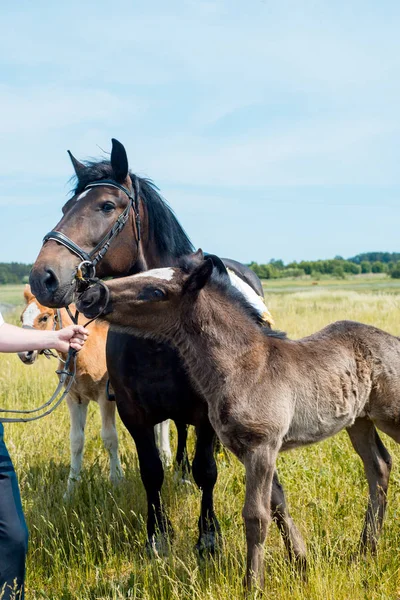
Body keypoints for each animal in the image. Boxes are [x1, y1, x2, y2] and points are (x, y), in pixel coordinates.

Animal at [76, 253, 398, 592]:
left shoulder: (262, 446)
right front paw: (301, 562)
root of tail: (392, 340)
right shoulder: (249, 449)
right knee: (379, 466)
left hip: (390, 416)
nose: (90, 294)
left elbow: (256, 516)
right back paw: (365, 551)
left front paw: (253, 584)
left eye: (155, 291)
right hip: (359, 421)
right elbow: (277, 501)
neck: (243, 364)